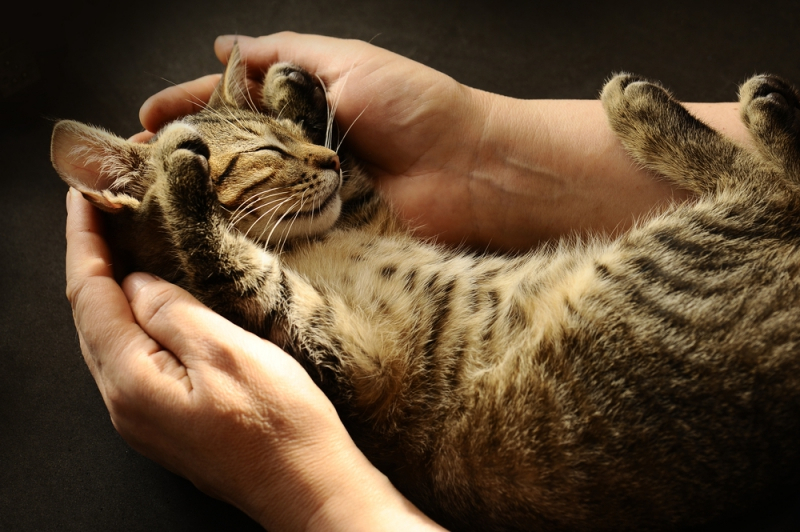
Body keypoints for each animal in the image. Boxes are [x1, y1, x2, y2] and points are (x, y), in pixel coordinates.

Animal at [50, 46, 800, 532]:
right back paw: (682, 108)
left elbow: (347, 185)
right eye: (266, 152)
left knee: (774, 189)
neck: (311, 247)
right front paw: (186, 178)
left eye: (290, 136)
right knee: (773, 191)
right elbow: (228, 263)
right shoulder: (333, 348)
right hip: (666, 263)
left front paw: (299, 90)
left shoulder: (360, 222)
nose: (322, 155)